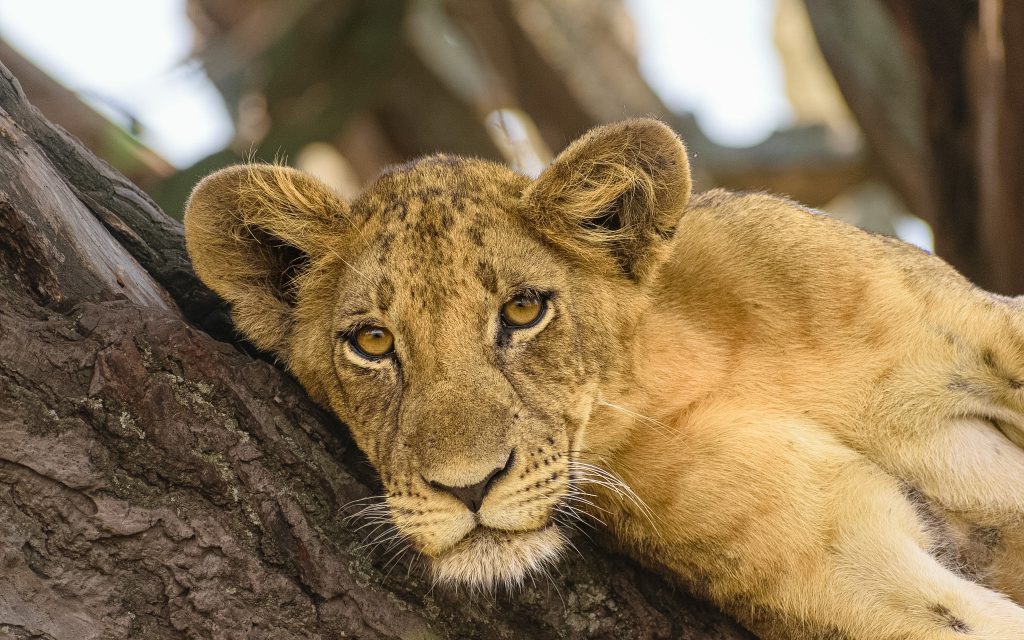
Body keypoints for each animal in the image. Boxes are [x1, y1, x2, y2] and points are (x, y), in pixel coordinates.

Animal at [183, 119, 1024, 639]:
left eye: (523, 310)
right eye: (372, 342)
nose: (467, 487)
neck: (679, 375)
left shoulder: (986, 329)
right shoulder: (854, 574)